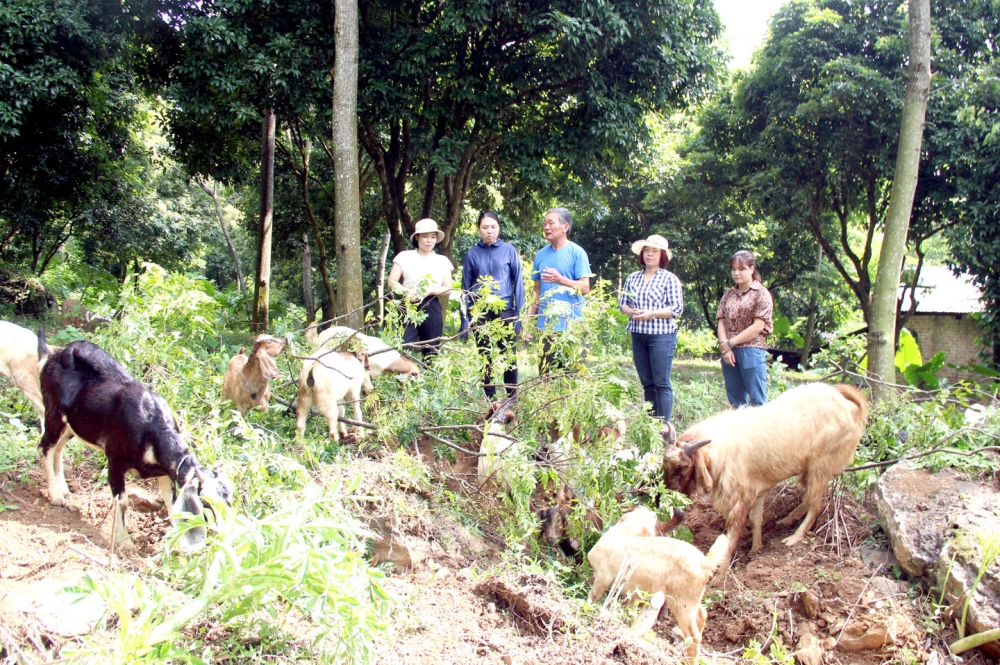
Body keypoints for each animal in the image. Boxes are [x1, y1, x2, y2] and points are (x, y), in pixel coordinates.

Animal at [39, 334, 232, 552]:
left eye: (229, 500)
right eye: (206, 503)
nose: (225, 534)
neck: (150, 426)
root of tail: (55, 354)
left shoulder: (165, 473)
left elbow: (172, 506)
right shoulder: (115, 459)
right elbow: (122, 501)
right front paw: (124, 543)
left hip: (71, 425)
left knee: (58, 448)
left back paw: (63, 489)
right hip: (53, 412)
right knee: (45, 446)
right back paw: (55, 496)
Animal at [584, 508, 728, 660]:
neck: (623, 533)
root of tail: (706, 564)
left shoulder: (603, 576)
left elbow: (593, 596)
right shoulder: (635, 590)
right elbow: (630, 610)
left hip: (682, 603)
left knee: (694, 636)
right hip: (692, 597)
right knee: (702, 614)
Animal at [664, 378, 868, 564]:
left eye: (684, 467)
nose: (667, 495)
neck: (722, 449)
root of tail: (850, 407)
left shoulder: (741, 498)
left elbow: (732, 537)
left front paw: (723, 570)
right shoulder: (759, 491)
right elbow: (756, 520)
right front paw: (756, 549)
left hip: (821, 465)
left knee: (817, 504)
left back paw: (793, 538)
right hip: (810, 469)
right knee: (809, 498)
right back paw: (787, 520)